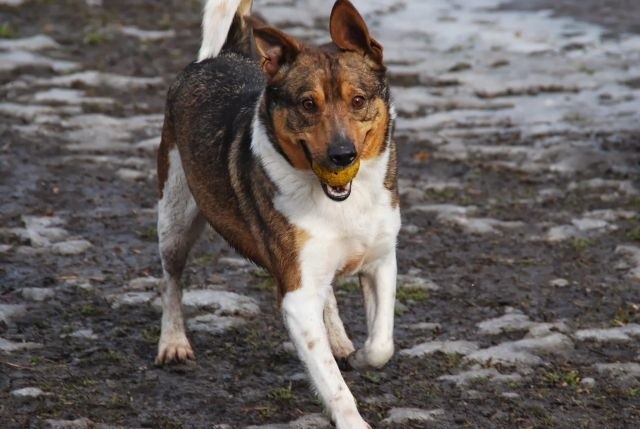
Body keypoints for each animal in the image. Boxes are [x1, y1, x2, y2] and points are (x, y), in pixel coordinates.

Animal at [154, 0, 400, 424]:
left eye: (358, 100)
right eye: (307, 104)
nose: (342, 155)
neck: (341, 202)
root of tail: (226, 53)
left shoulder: (381, 259)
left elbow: (381, 344)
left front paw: (360, 357)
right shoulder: (297, 293)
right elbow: (332, 381)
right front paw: (351, 419)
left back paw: (339, 341)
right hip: (175, 215)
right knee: (172, 278)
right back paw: (173, 343)